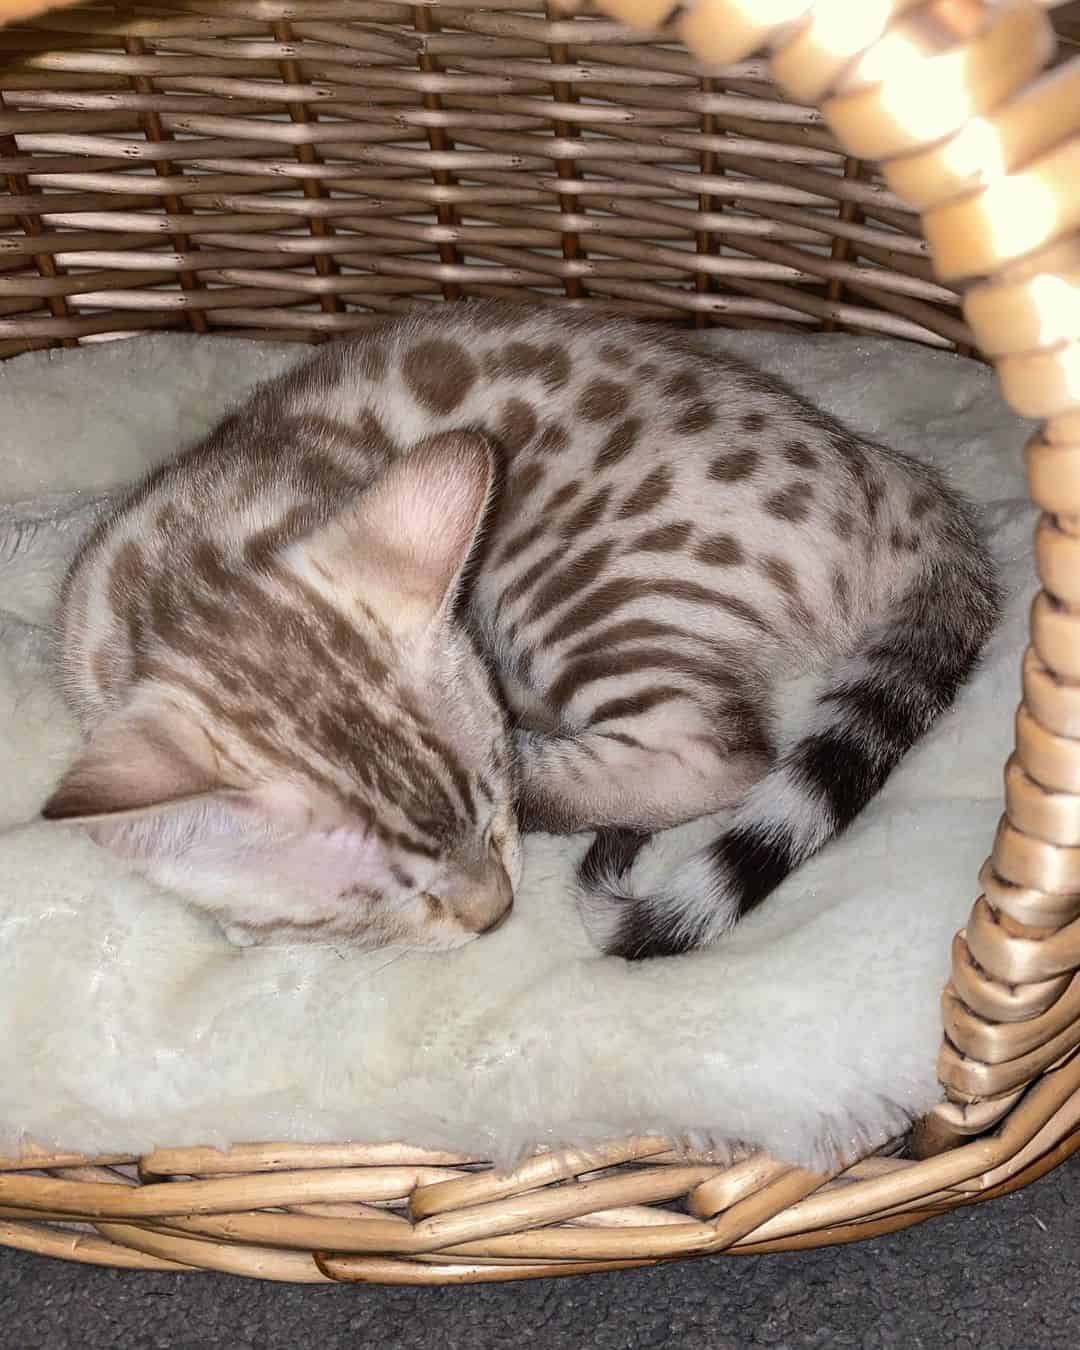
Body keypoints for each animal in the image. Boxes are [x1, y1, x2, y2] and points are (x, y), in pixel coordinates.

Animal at [44, 306, 1004, 961]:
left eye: (490, 806)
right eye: (380, 895)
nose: (495, 910)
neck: (198, 559)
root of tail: (891, 474)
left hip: (574, 582)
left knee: (724, 753)